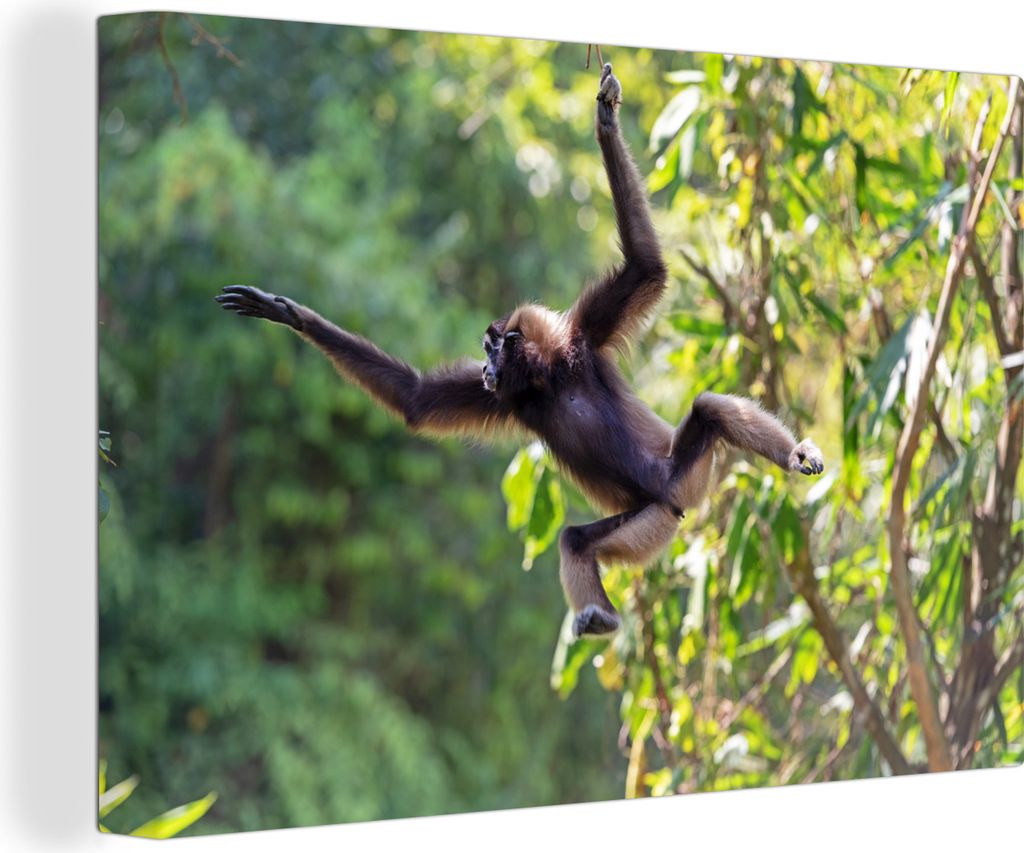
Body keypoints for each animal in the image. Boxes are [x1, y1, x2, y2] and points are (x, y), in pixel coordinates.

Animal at [216, 64, 823, 639]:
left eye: (490, 350)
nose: (487, 368)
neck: (546, 378)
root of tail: (678, 501)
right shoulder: (509, 396)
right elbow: (416, 400)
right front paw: (286, 312)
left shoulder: (581, 341)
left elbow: (647, 269)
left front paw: (606, 120)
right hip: (650, 518)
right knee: (577, 539)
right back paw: (601, 618)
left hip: (673, 481)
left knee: (707, 411)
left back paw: (793, 455)